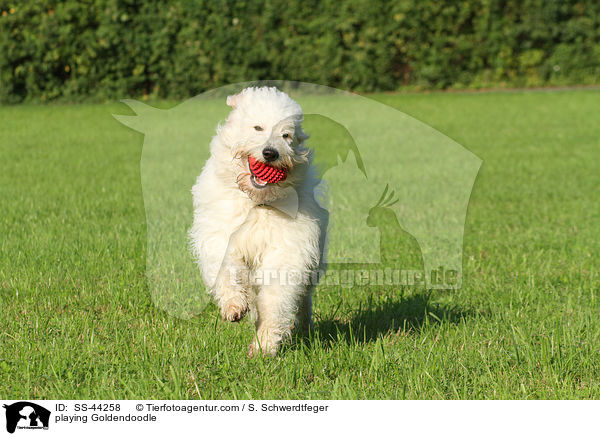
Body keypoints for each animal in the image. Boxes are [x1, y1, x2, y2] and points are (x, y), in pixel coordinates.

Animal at [191, 87, 324, 356]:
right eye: (258, 127)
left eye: (286, 135)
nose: (270, 153)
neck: (257, 201)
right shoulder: (221, 234)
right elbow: (225, 268)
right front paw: (234, 305)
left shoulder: (287, 251)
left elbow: (275, 298)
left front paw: (265, 343)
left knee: (302, 301)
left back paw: (303, 327)